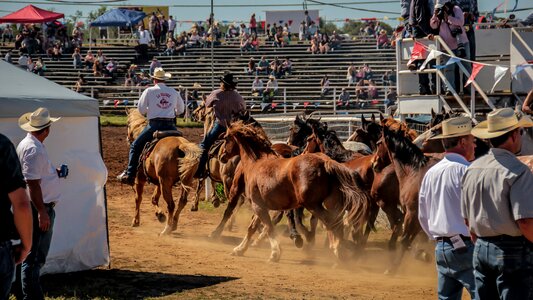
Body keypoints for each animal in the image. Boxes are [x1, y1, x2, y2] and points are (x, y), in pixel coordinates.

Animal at [218, 120, 372, 262]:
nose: (221, 156)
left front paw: (275, 253)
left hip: (313, 205)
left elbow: (269, 227)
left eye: (226, 138)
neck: (256, 163)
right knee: (337, 222)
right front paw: (239, 249)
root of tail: (326, 163)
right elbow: (253, 228)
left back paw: (337, 249)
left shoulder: (258, 205)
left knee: (330, 222)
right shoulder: (261, 206)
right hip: (330, 203)